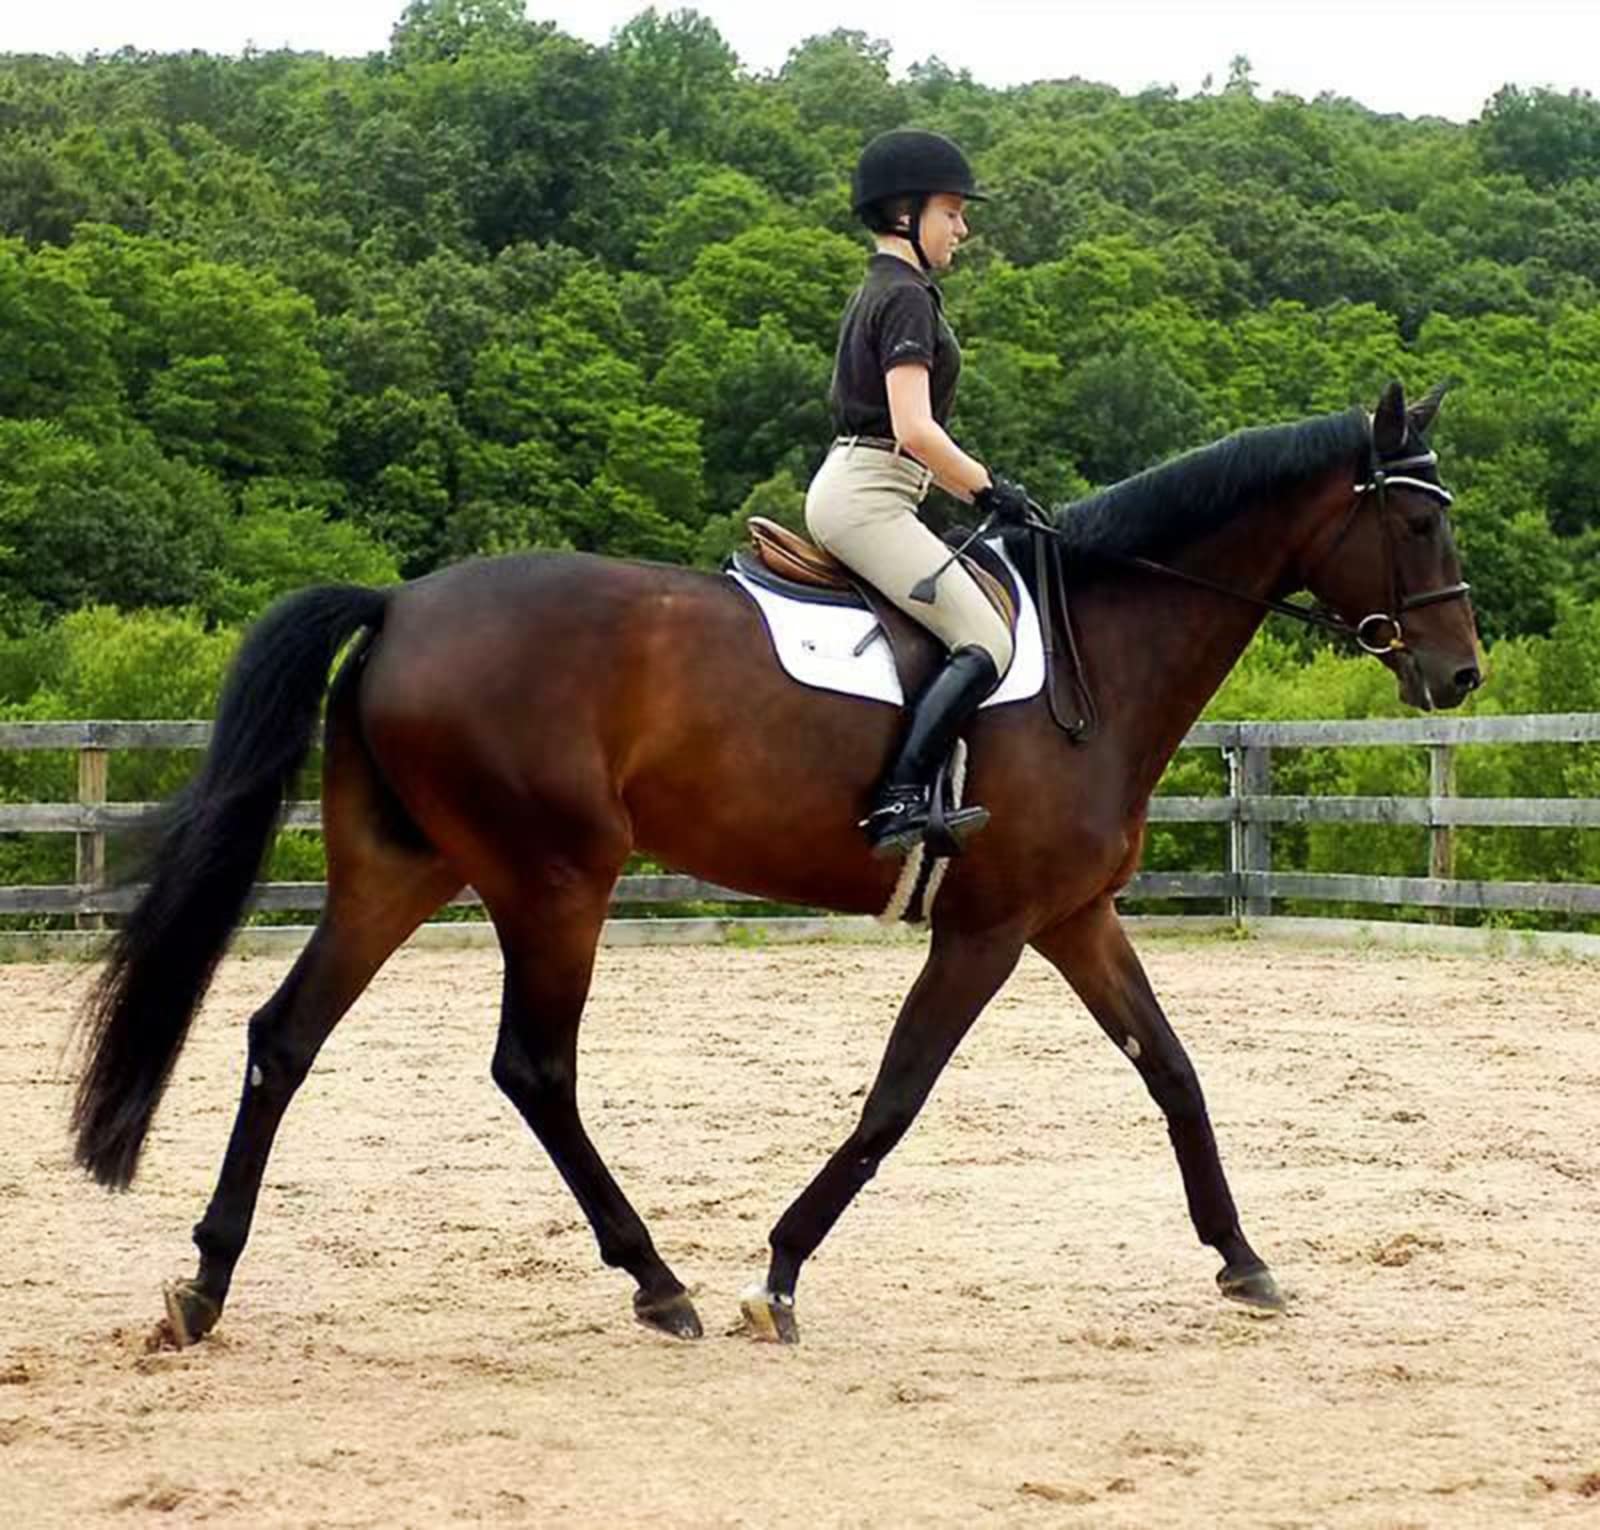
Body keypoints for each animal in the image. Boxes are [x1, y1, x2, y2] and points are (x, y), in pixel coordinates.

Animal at [73, 380, 1480, 1347]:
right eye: (1414, 521)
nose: (1458, 674)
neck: (1104, 649)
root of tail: (401, 602)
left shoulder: (1072, 914)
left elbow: (1174, 1073)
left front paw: (1243, 1259)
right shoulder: (989, 927)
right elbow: (895, 1098)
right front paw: (778, 1273)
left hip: (404, 869)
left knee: (283, 1037)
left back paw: (204, 1283)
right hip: (555, 878)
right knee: (532, 1068)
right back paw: (660, 1283)